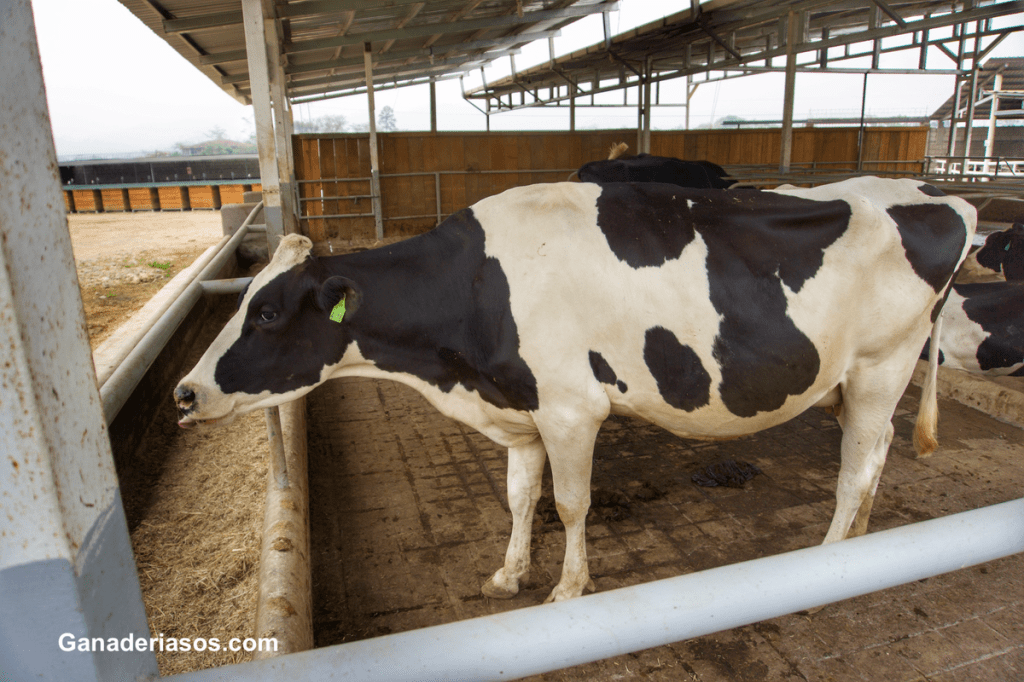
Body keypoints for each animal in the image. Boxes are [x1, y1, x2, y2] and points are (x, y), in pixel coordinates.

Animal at [174, 176, 975, 603]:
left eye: (267, 312)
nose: (182, 393)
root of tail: (939, 195)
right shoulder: (521, 410)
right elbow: (519, 497)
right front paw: (508, 573)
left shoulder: (570, 408)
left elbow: (569, 503)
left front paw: (567, 587)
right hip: (857, 383)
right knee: (877, 454)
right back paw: (861, 545)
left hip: (880, 367)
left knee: (856, 469)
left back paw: (829, 561)